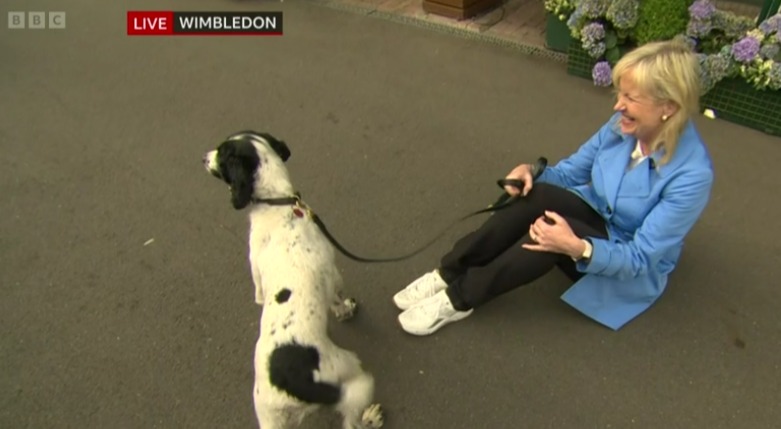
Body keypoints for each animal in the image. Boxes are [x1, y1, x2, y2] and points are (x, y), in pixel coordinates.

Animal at [203, 131, 382, 428]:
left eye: (222, 151)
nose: (203, 158)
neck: (278, 203)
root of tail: (293, 387)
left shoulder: (257, 281)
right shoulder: (332, 273)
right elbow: (336, 300)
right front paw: (346, 310)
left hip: (271, 418)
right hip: (347, 366)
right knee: (351, 419)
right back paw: (371, 417)